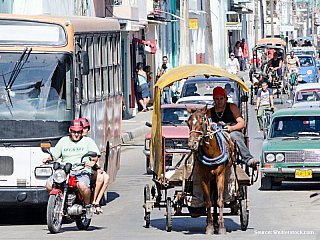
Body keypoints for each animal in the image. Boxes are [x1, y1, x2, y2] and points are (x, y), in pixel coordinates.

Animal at [185, 105, 235, 234]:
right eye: (188, 123)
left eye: (201, 122)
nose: (192, 144)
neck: (211, 153)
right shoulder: (204, 178)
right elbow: (208, 202)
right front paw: (210, 226)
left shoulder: (220, 175)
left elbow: (220, 201)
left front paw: (222, 227)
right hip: (211, 180)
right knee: (212, 199)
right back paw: (214, 222)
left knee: (216, 199)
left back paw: (218, 223)